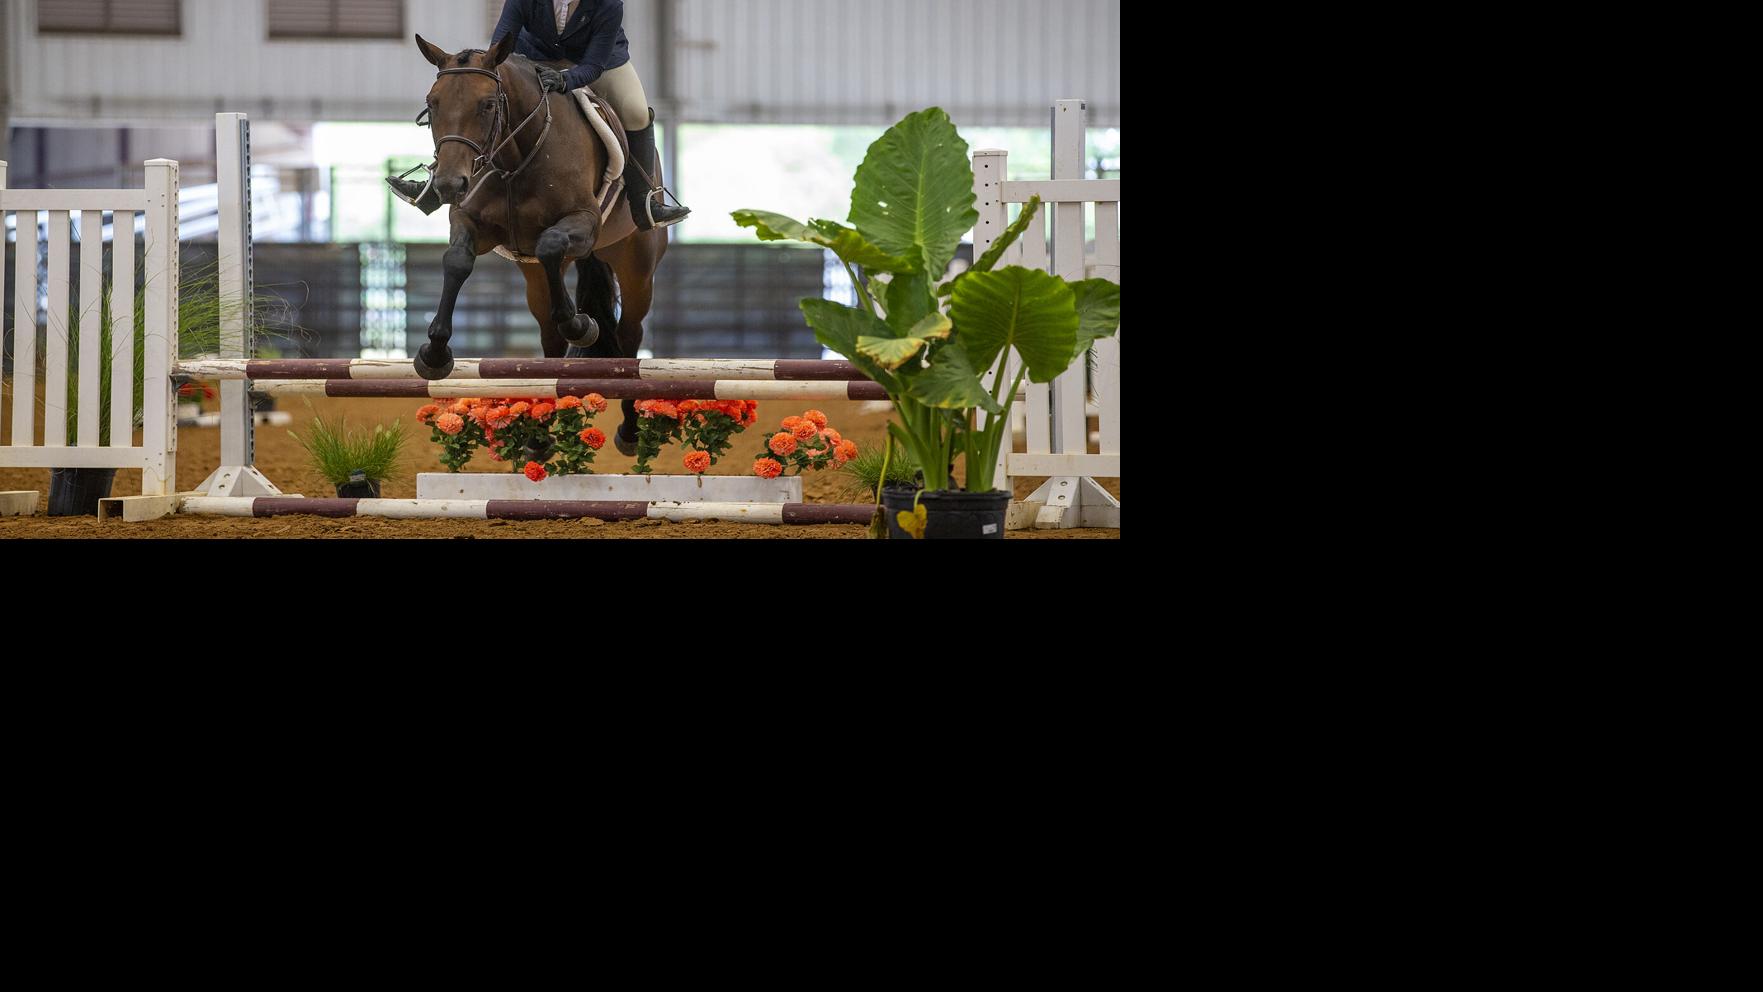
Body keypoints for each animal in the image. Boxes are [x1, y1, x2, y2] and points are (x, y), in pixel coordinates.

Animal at [413, 32, 667, 456]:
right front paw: (434, 354)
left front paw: (582, 326)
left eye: (487, 105)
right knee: (550, 334)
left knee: (629, 335)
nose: (449, 184)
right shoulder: (470, 222)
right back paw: (539, 436)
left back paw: (630, 432)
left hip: (637, 266)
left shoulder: (584, 223)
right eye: (433, 103)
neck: (517, 158)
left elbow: (550, 245)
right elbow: (457, 261)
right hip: (533, 276)